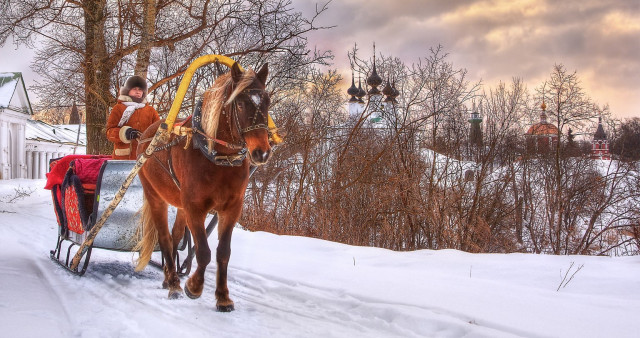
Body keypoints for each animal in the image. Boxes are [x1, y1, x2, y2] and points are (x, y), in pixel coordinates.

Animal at [136, 62, 272, 310]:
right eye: (240, 103)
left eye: (267, 101)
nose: (262, 152)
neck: (218, 159)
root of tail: (147, 135)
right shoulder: (195, 208)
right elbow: (203, 251)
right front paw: (194, 286)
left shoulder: (231, 209)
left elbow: (223, 253)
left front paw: (223, 297)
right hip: (155, 196)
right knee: (165, 238)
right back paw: (174, 284)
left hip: (180, 205)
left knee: (175, 237)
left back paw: (169, 278)